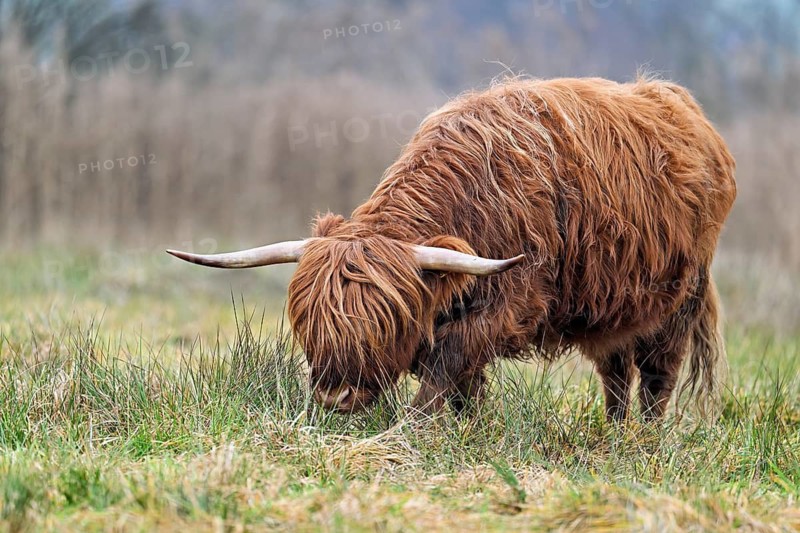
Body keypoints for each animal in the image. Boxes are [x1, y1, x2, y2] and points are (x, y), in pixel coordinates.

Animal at [168, 77, 737, 422]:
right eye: (307, 321)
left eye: (384, 323)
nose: (336, 396)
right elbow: (461, 377)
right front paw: (466, 424)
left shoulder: (513, 301)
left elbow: (450, 360)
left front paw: (420, 424)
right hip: (612, 310)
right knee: (616, 373)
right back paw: (614, 433)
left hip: (679, 301)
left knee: (658, 375)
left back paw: (644, 443)